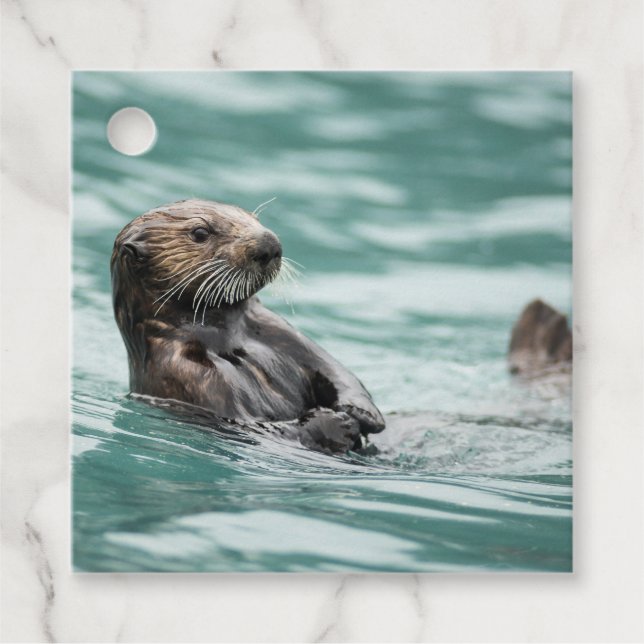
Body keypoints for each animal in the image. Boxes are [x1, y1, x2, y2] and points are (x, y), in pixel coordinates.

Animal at [110, 199, 385, 454]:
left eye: (253, 218)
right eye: (200, 232)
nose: (269, 243)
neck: (227, 339)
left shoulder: (278, 330)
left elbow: (334, 370)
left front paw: (361, 412)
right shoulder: (186, 374)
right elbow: (256, 427)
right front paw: (337, 423)